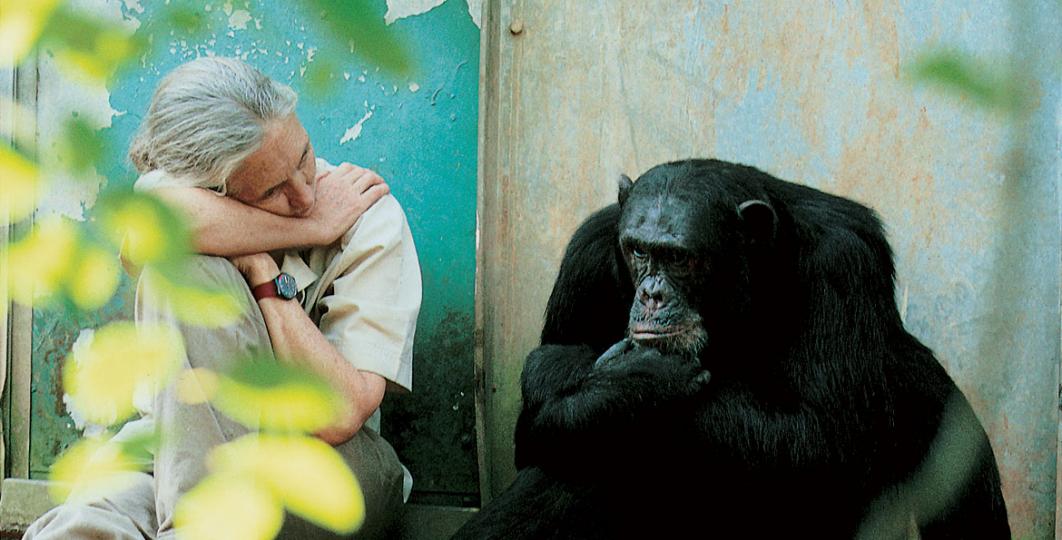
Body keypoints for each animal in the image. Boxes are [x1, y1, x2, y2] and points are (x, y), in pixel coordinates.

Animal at [454, 158, 1002, 537]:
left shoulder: (844, 263)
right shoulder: (584, 256)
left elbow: (829, 438)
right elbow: (534, 430)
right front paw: (624, 386)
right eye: (638, 250)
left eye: (679, 258)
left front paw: (634, 383)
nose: (651, 294)